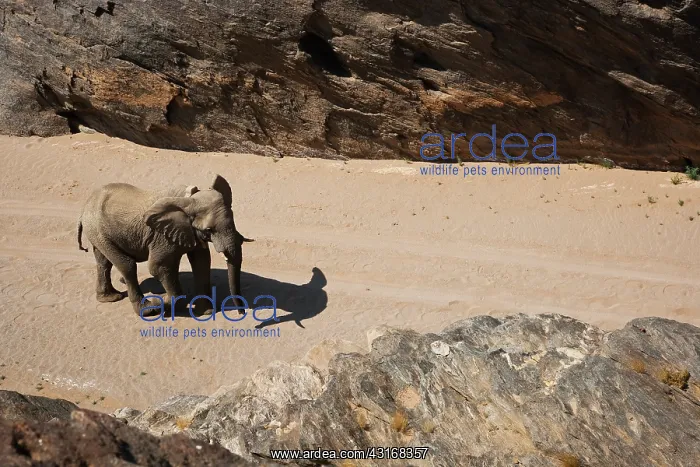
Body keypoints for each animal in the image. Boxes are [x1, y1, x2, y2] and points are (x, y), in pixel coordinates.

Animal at [77, 174, 253, 316]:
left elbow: (201, 263)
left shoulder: (189, 232)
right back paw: (146, 310)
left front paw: (205, 312)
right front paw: (159, 303)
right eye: (209, 229)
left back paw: (111, 298)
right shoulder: (161, 236)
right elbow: (158, 266)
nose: (241, 312)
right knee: (127, 265)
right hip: (98, 230)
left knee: (103, 262)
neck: (189, 199)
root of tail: (85, 206)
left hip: (98, 232)